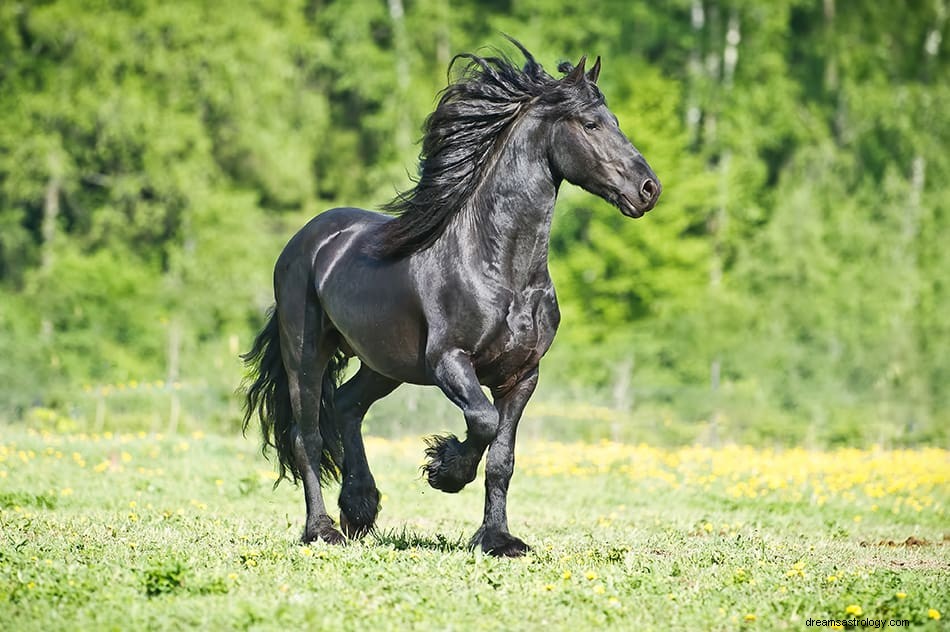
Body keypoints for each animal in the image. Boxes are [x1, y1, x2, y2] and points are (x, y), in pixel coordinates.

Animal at [244, 37, 660, 556]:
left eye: (615, 121)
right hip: (305, 353)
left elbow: (502, 458)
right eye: (591, 124)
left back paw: (360, 508)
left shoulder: (523, 376)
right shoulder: (449, 361)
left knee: (346, 405)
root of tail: (306, 239)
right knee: (308, 437)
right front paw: (444, 470)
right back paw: (323, 530)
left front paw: (498, 539)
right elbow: (481, 421)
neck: (501, 271)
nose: (648, 189)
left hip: (384, 363)